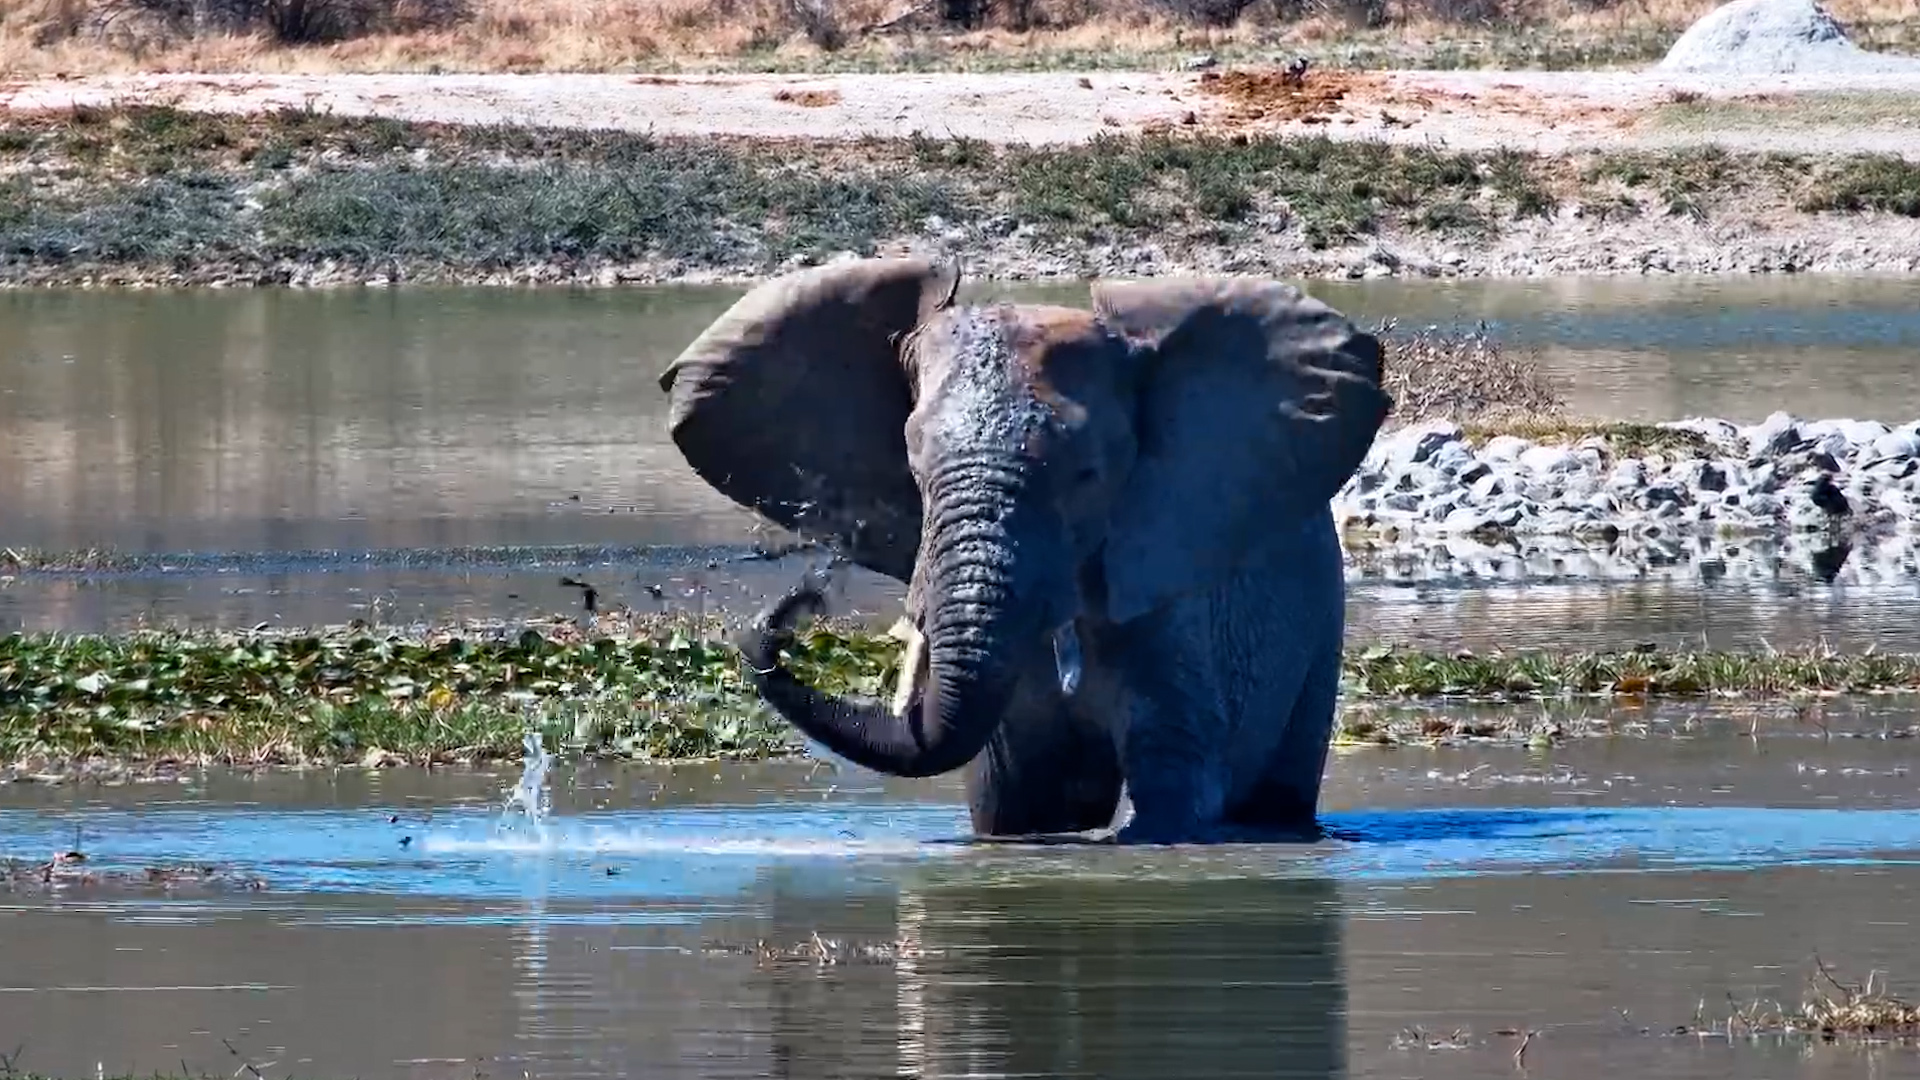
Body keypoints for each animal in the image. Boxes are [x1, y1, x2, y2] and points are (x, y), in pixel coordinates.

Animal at [658, 255, 1391, 844]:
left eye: (1087, 474)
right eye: (914, 464)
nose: (797, 603)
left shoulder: (1172, 586)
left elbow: (1175, 784)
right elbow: (1012, 799)